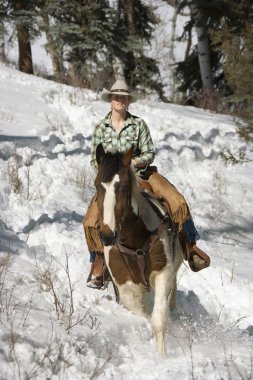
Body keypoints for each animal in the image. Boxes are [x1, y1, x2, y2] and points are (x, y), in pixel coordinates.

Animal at [94, 143, 183, 356]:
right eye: (96, 185)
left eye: (124, 187)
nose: (107, 236)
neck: (136, 242)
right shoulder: (126, 286)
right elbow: (141, 315)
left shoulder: (163, 274)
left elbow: (158, 320)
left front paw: (162, 357)